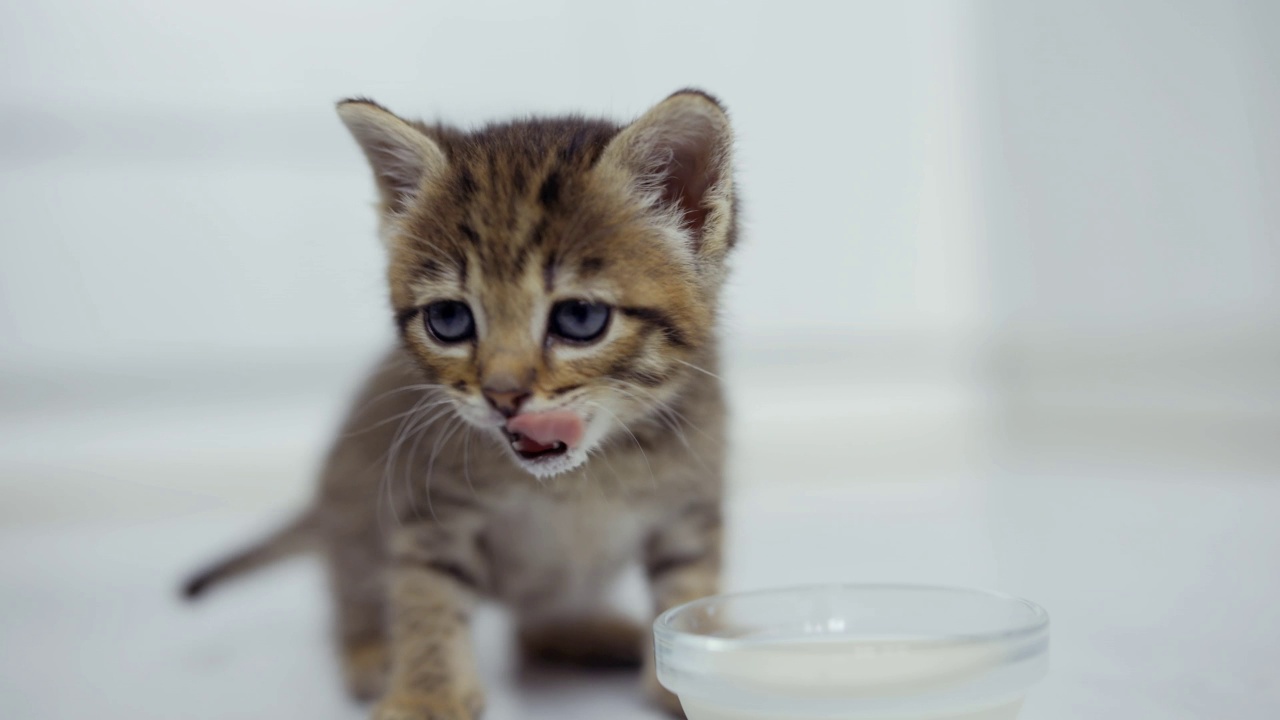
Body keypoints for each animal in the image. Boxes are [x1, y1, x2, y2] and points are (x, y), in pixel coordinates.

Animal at [184, 89, 737, 717]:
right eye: (449, 319)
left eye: (580, 318)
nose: (502, 394)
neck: (575, 484)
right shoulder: (428, 507)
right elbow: (426, 595)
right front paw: (426, 696)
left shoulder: (691, 504)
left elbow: (688, 584)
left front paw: (696, 678)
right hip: (353, 507)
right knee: (354, 594)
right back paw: (371, 652)